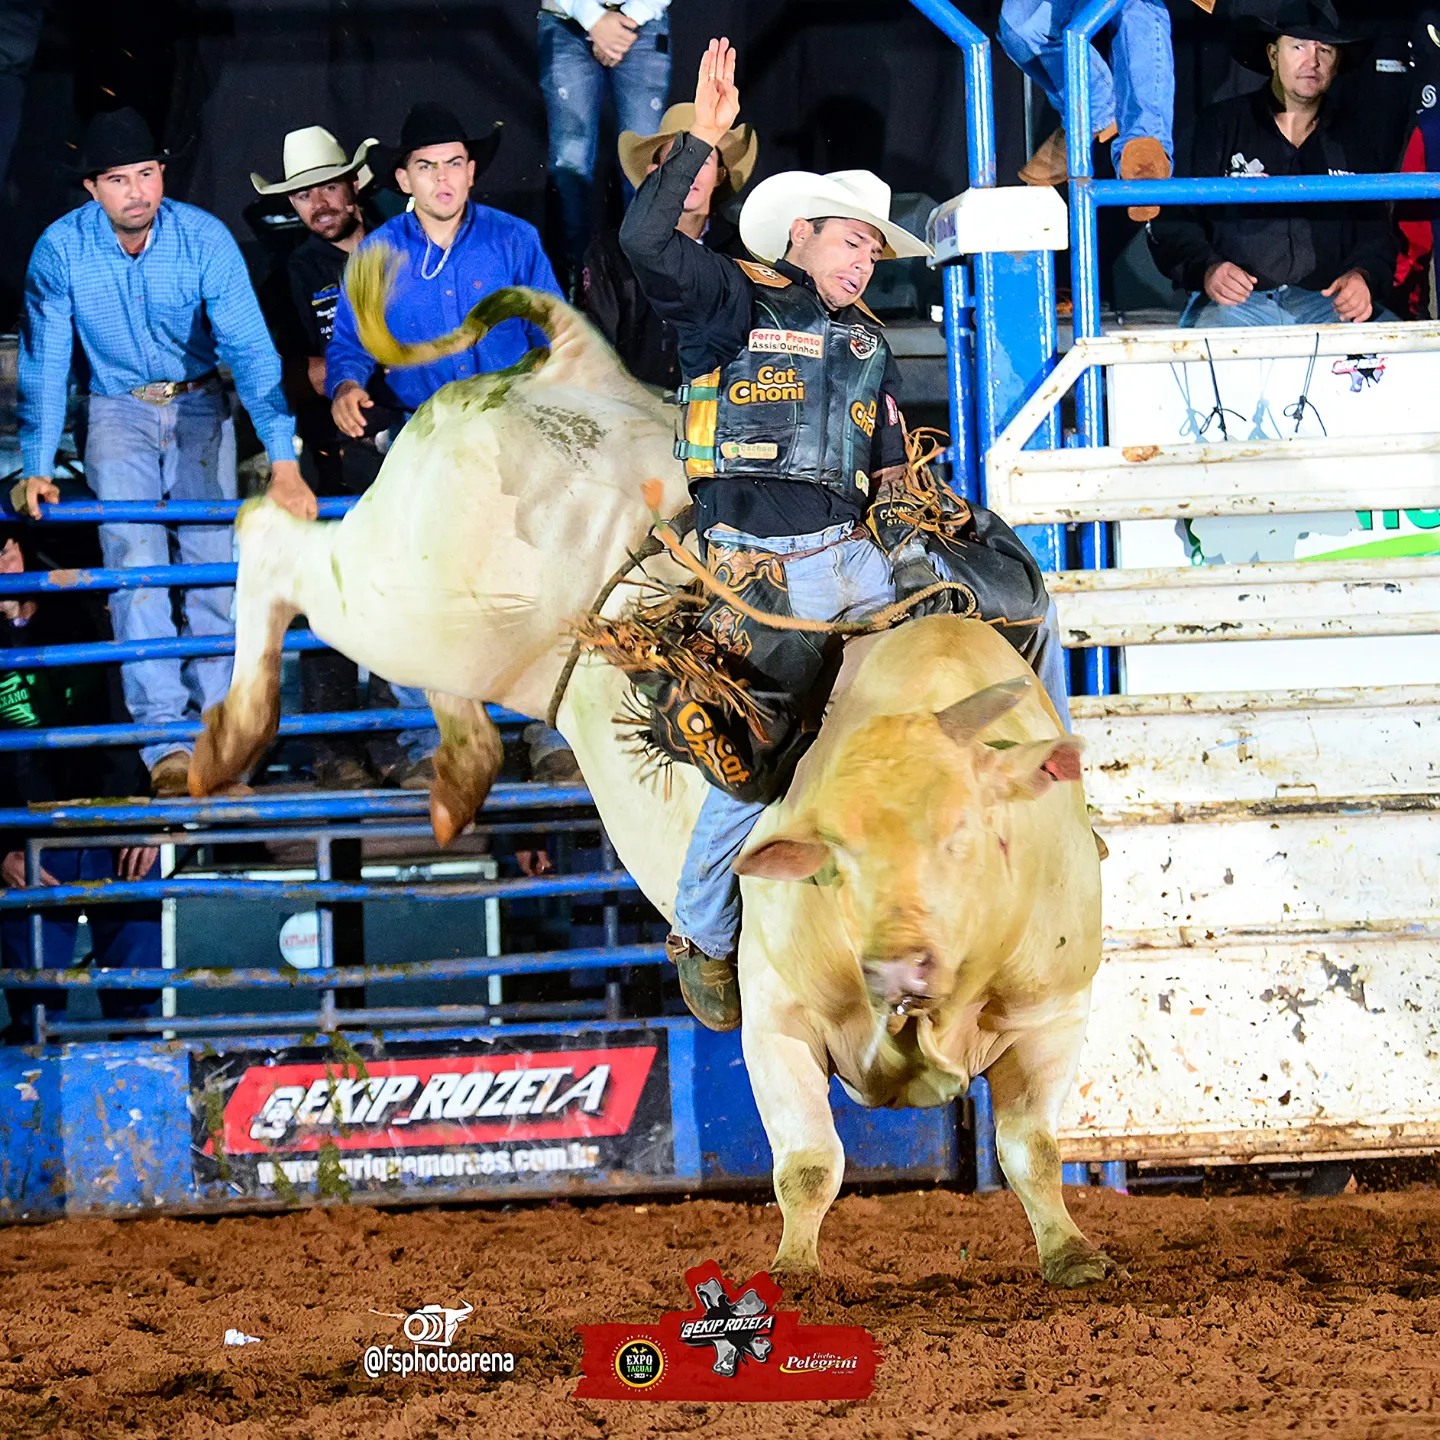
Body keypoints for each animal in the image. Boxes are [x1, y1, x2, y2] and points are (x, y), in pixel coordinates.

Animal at [191, 250, 1111, 1296]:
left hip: (449, 626)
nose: (899, 959)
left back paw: (459, 772)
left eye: (967, 841)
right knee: (273, 544)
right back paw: (229, 740)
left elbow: (1031, 1146)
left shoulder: (1053, 1017)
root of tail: (571, 364)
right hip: (414, 595)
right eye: (832, 860)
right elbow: (811, 1161)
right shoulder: (777, 1022)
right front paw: (791, 1275)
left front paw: (1071, 1254)